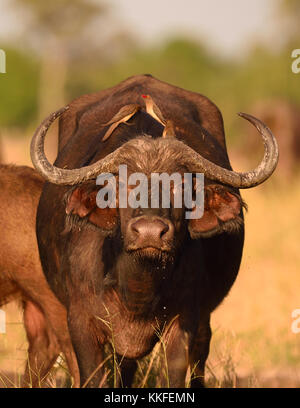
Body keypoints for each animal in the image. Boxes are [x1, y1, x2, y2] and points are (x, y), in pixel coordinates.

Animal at [29, 75, 278, 388]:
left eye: (181, 185)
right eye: (122, 184)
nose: (149, 232)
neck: (136, 290)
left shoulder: (184, 322)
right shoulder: (81, 323)